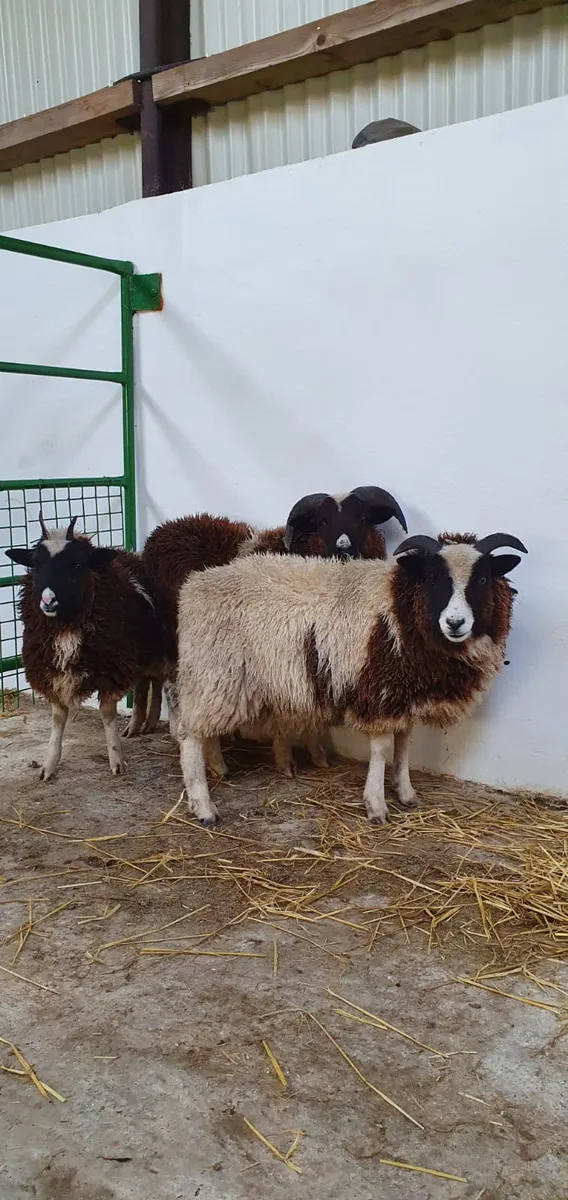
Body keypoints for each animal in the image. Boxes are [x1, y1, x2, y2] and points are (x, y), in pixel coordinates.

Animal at [6, 515, 166, 780]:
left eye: (77, 564)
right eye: (36, 564)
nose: (48, 600)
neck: (65, 626)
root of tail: (129, 554)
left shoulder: (111, 670)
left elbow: (107, 714)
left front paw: (116, 760)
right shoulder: (50, 672)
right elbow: (58, 718)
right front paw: (49, 765)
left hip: (152, 651)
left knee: (156, 681)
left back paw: (148, 721)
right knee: (144, 684)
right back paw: (137, 725)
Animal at [142, 487, 407, 773]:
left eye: (362, 517)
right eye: (322, 522)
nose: (344, 549)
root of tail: (160, 532)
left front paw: (316, 755)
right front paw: (285, 758)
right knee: (176, 691)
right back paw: (211, 758)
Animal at [173, 531, 527, 826]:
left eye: (483, 578)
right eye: (432, 578)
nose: (455, 622)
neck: (401, 606)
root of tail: (193, 586)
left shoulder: (404, 694)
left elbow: (404, 745)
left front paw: (406, 793)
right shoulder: (381, 690)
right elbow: (382, 750)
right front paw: (377, 805)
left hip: (222, 679)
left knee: (206, 730)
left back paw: (221, 768)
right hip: (216, 672)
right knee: (190, 735)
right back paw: (204, 806)